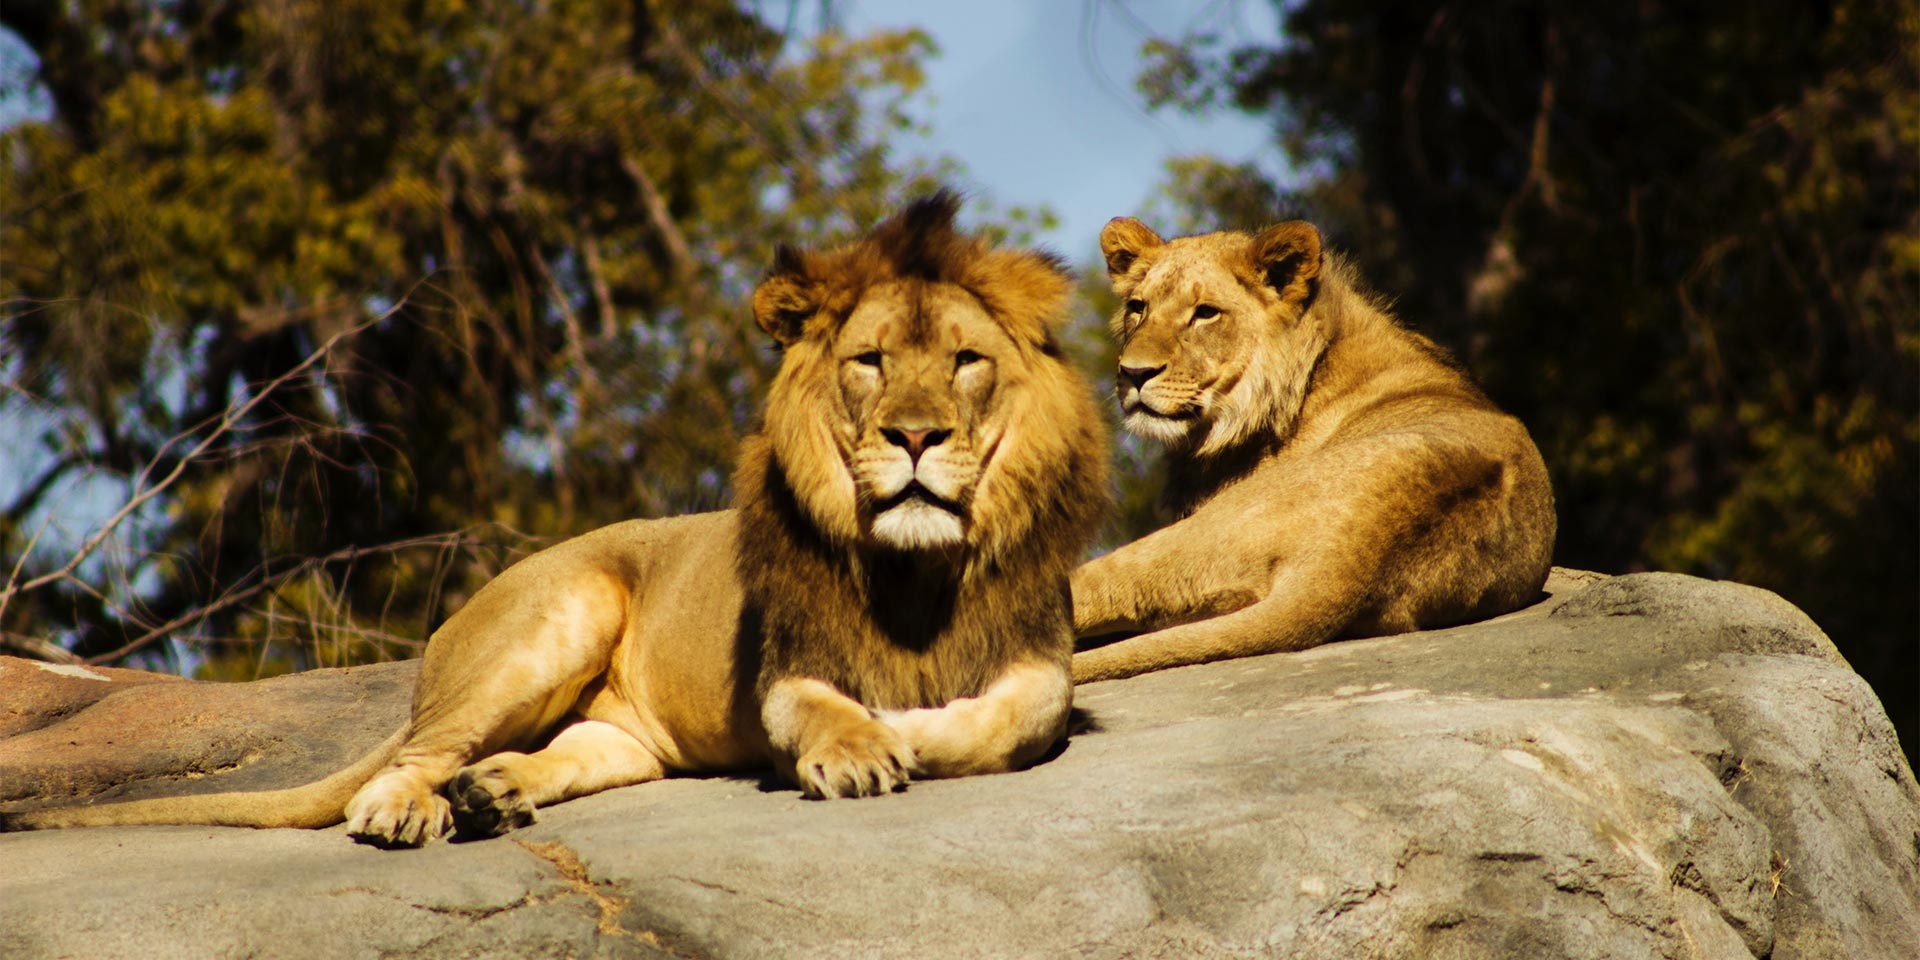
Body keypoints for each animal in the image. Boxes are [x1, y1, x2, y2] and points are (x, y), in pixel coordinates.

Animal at [1, 193, 1108, 846]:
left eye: (966, 361)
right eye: (871, 362)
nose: (916, 435)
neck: (919, 568)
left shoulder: (1039, 658)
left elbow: (1014, 716)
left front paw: (912, 727)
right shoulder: (788, 668)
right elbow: (823, 709)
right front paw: (865, 743)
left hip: (623, 734)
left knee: (568, 751)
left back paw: (492, 792)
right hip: (556, 620)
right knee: (403, 762)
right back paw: (410, 809)